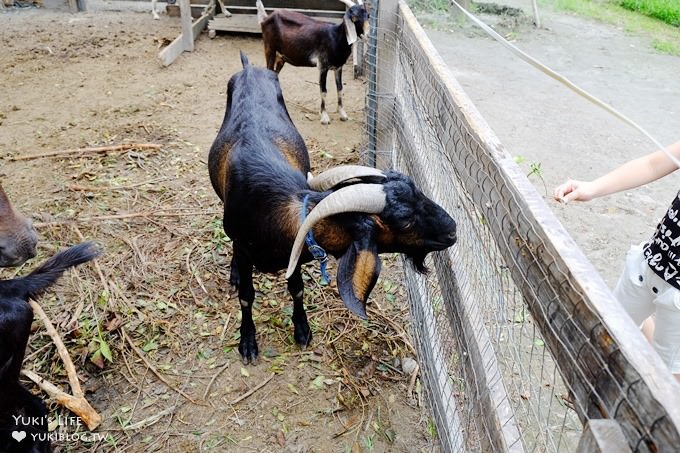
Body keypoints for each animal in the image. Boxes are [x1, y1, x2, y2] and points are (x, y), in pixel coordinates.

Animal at [205, 52, 454, 364]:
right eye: (405, 219)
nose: (453, 229)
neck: (272, 210)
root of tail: (250, 68)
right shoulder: (244, 242)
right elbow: (247, 297)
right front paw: (247, 341)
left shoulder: (295, 254)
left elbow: (297, 289)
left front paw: (302, 330)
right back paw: (235, 273)